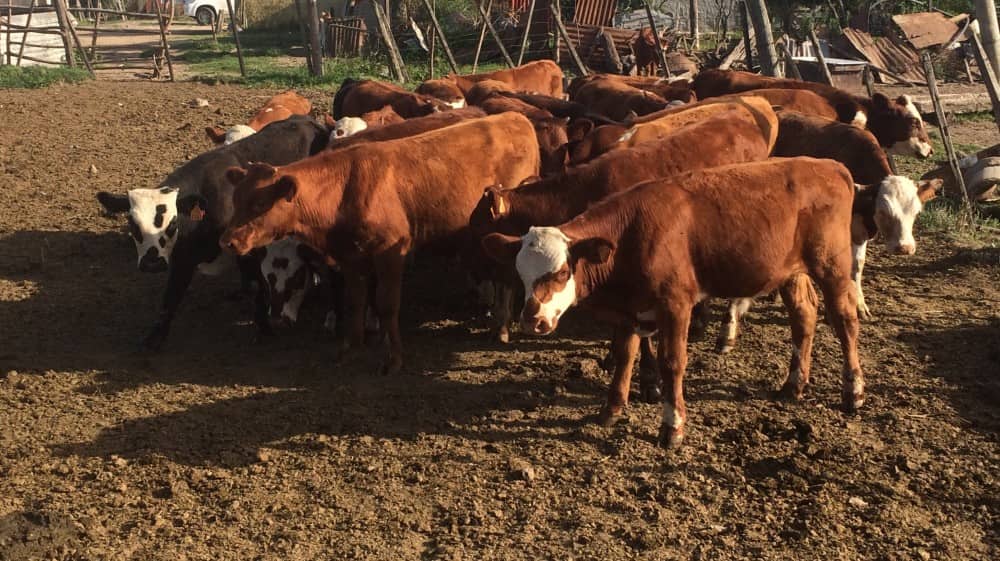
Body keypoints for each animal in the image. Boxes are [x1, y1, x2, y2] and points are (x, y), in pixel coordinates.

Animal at [97, 115, 326, 350]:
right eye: (133, 224)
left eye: (172, 223)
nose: (152, 263)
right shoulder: (183, 258)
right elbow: (170, 298)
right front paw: (155, 337)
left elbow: (261, 288)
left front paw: (264, 327)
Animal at [219, 112, 540, 376]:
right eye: (236, 198)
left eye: (260, 203)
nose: (227, 241)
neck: (345, 187)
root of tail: (515, 117)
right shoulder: (350, 257)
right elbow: (354, 302)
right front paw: (349, 349)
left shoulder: (391, 253)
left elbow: (386, 305)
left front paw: (393, 359)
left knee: (505, 277)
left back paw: (500, 326)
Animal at [480, 156, 864, 446]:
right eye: (520, 272)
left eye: (561, 273)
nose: (533, 320)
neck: (631, 235)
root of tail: (831, 166)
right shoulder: (630, 309)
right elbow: (625, 355)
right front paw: (611, 410)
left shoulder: (676, 305)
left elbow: (671, 362)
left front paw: (672, 427)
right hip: (791, 271)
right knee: (804, 316)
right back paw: (793, 384)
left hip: (832, 266)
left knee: (845, 320)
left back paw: (853, 391)